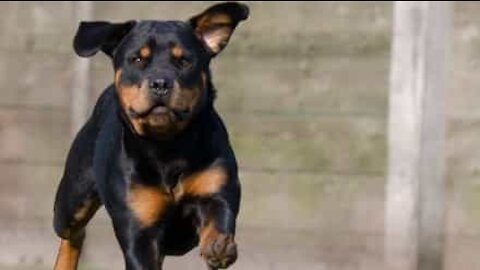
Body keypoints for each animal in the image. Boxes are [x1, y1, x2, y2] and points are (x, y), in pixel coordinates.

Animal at [52, 2, 249, 270]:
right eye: (137, 59)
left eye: (184, 61)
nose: (160, 82)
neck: (167, 146)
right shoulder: (139, 227)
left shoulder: (216, 185)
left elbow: (218, 215)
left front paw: (218, 246)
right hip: (73, 198)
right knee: (72, 232)